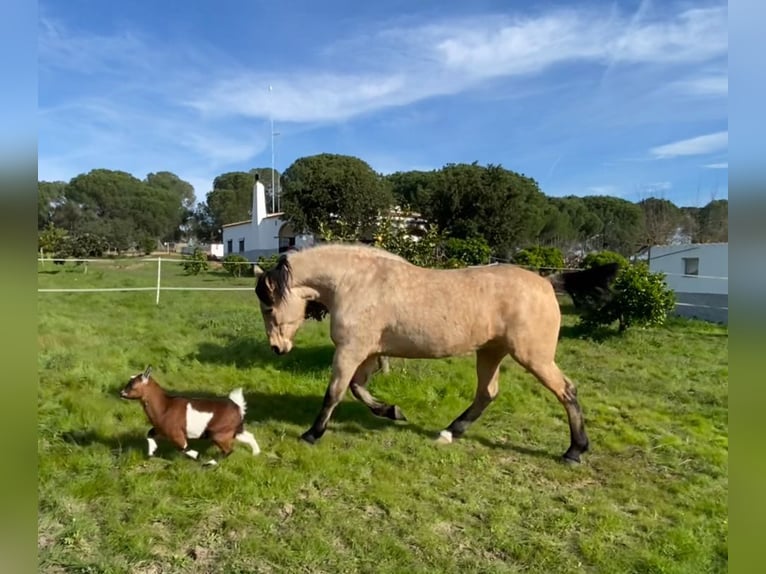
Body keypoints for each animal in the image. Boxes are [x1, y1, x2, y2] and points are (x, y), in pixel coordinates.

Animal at [119, 368, 260, 468]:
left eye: (132, 384)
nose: (121, 393)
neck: (165, 406)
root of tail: (237, 406)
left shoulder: (176, 434)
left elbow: (182, 447)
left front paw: (196, 455)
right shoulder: (160, 430)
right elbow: (149, 434)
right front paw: (152, 451)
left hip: (218, 433)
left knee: (228, 450)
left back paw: (208, 463)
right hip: (234, 429)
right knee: (249, 436)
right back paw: (256, 453)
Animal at [255, 242, 620, 464]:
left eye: (268, 306)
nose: (277, 348)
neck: (356, 283)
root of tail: (547, 282)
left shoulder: (350, 351)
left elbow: (335, 392)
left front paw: (311, 434)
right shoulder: (368, 353)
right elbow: (358, 389)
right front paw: (392, 411)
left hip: (534, 357)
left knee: (567, 390)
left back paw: (574, 450)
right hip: (491, 352)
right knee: (487, 393)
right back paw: (450, 432)